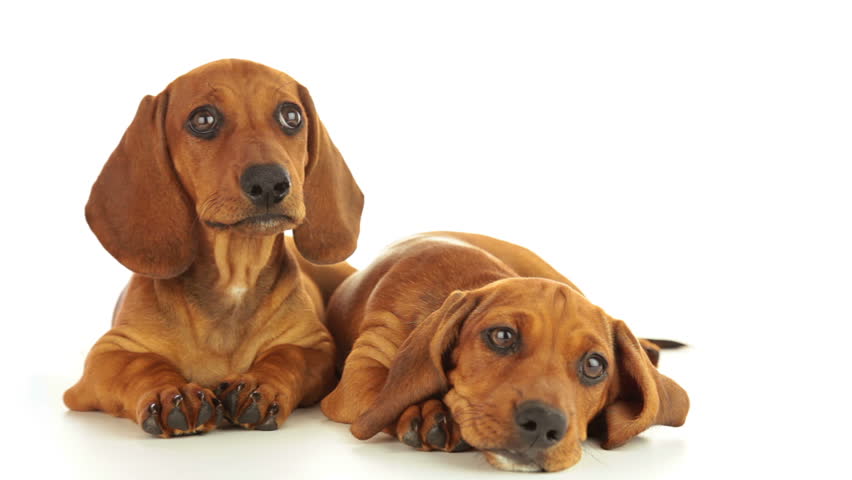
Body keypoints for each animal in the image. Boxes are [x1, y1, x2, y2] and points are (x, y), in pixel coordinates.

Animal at [62, 58, 362, 436]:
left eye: (292, 116)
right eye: (203, 119)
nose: (269, 182)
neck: (234, 277)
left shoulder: (314, 345)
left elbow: (288, 356)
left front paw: (260, 383)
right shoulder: (105, 356)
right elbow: (140, 365)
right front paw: (170, 392)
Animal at [322, 232, 688, 472]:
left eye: (595, 365)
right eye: (501, 336)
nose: (543, 423)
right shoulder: (361, 370)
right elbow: (384, 395)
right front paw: (425, 410)